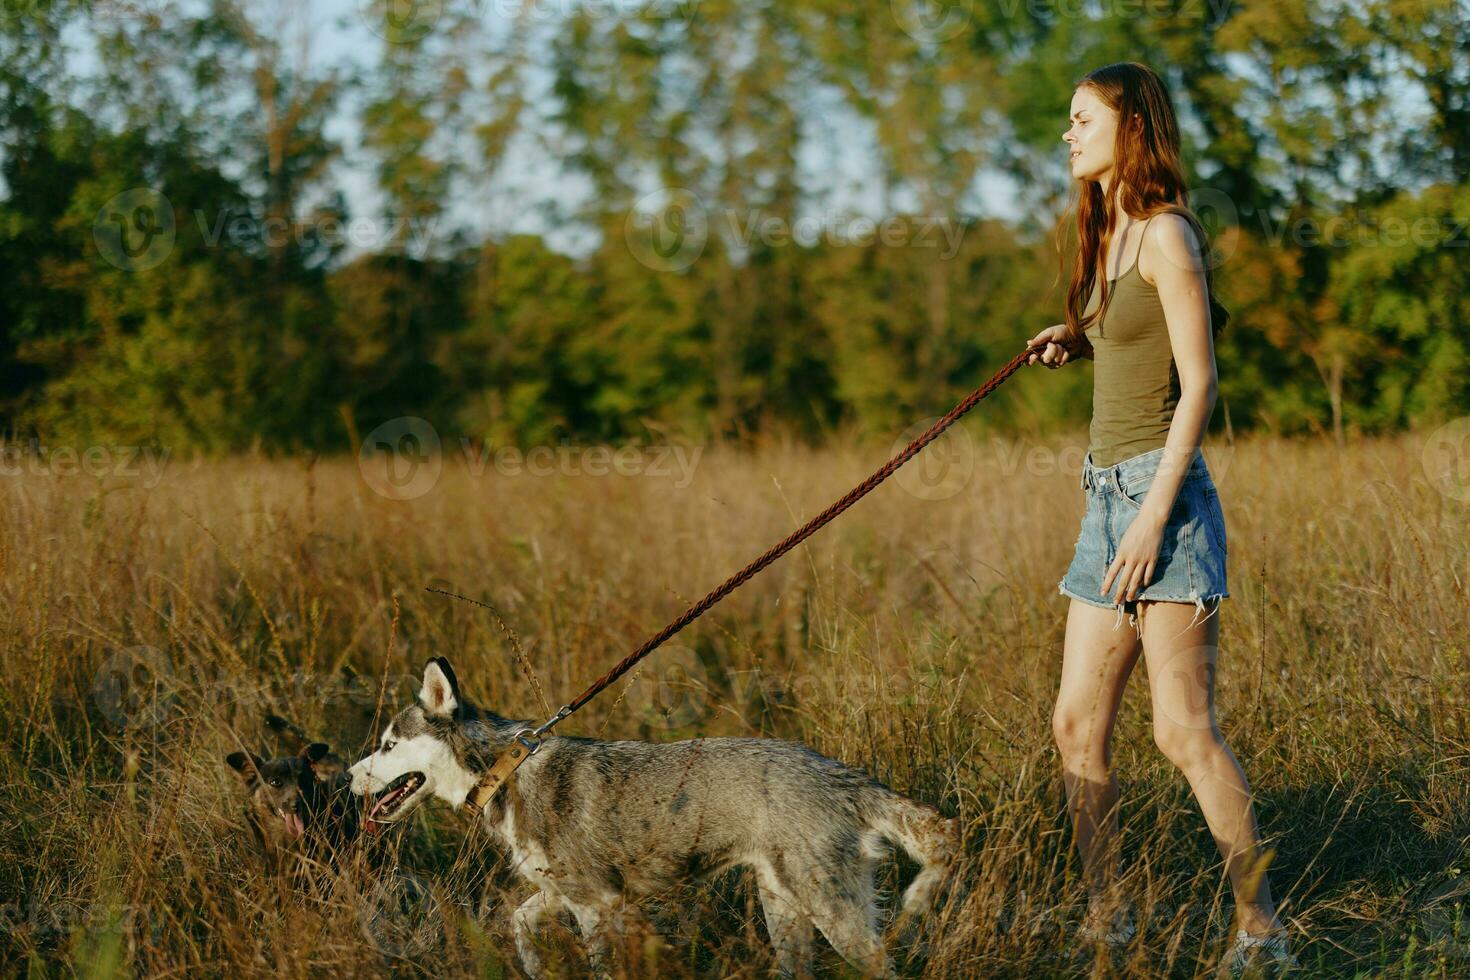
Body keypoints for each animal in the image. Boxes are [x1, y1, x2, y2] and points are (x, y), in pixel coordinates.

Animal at [348, 658, 958, 980]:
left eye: (388, 745)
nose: (347, 779)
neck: (506, 768)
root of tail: (846, 778)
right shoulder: (565, 892)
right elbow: (518, 920)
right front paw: (535, 966)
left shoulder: (597, 906)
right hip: (785, 909)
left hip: (832, 911)